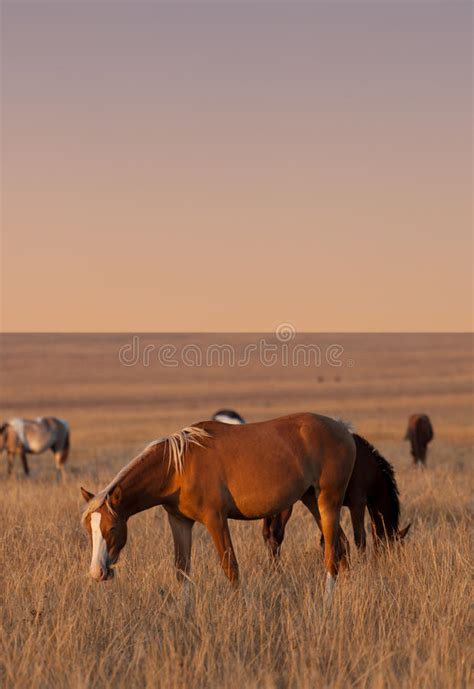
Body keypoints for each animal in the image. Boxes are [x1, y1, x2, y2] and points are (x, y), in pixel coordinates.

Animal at [81, 414, 356, 596]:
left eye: (112, 529)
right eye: (89, 532)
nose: (96, 572)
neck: (178, 467)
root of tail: (343, 429)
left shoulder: (216, 520)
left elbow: (230, 568)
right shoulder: (180, 522)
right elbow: (182, 571)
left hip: (328, 501)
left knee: (332, 553)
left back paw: (328, 600)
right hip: (312, 500)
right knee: (342, 546)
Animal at [262, 436, 412, 560]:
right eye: (395, 547)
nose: (388, 562)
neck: (370, 469)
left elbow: (326, 540)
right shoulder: (357, 503)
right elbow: (360, 538)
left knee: (269, 534)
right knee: (275, 534)